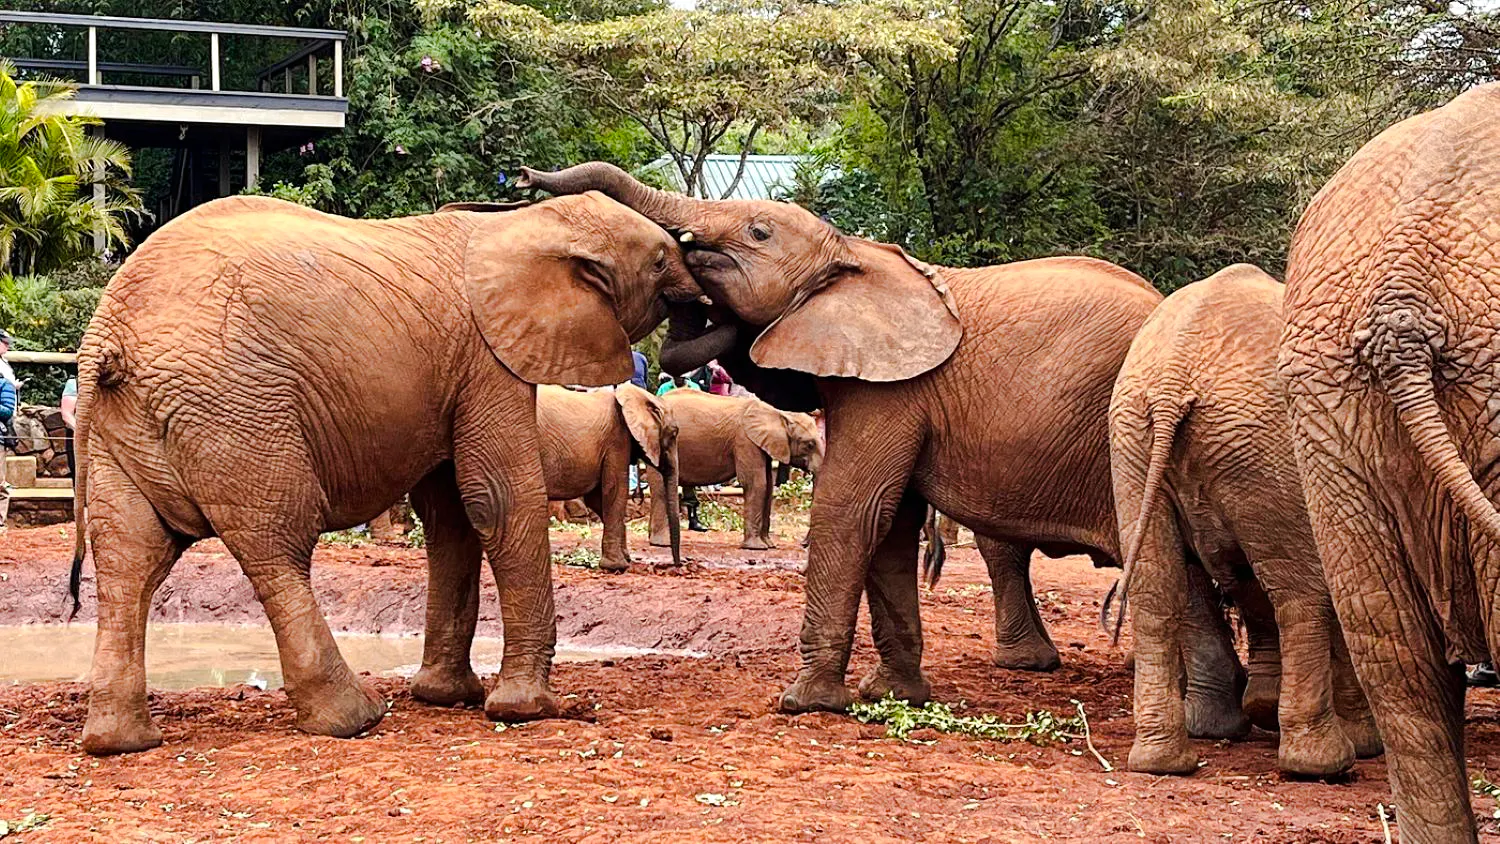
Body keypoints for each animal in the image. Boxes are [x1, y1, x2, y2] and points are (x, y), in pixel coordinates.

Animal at [536, 383, 681, 572]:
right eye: (674, 434)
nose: (677, 565)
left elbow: (597, 498)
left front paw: (626, 558)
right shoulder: (617, 438)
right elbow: (615, 490)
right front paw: (617, 566)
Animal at [639, 390, 822, 550]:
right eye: (809, 444)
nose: (803, 544)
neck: (777, 413)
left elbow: (769, 486)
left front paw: (769, 545)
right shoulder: (745, 440)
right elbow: (756, 484)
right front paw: (756, 548)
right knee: (662, 489)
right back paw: (662, 543)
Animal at [1109, 263, 1381, 778]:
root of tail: (1173, 375)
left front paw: (1262, 710)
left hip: (1137, 438)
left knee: (1160, 586)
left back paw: (1163, 761)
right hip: (1256, 444)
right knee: (1301, 593)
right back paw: (1324, 764)